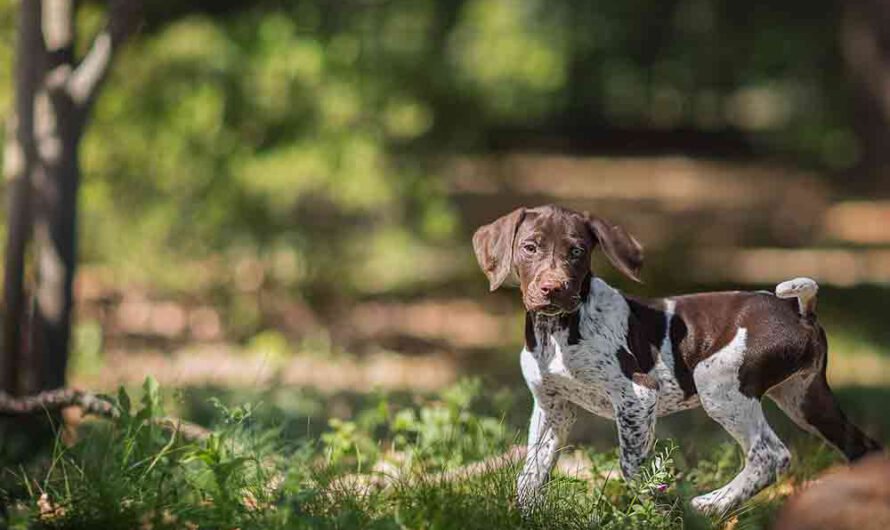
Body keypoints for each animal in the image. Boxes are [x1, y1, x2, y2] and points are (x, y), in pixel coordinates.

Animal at [472, 204, 880, 512]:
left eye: (577, 252)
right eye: (529, 247)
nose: (552, 289)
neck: (556, 331)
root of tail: (799, 311)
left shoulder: (637, 397)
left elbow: (633, 467)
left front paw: (660, 509)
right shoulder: (553, 408)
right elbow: (531, 474)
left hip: (719, 383)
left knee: (770, 455)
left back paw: (711, 505)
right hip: (805, 397)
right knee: (862, 447)